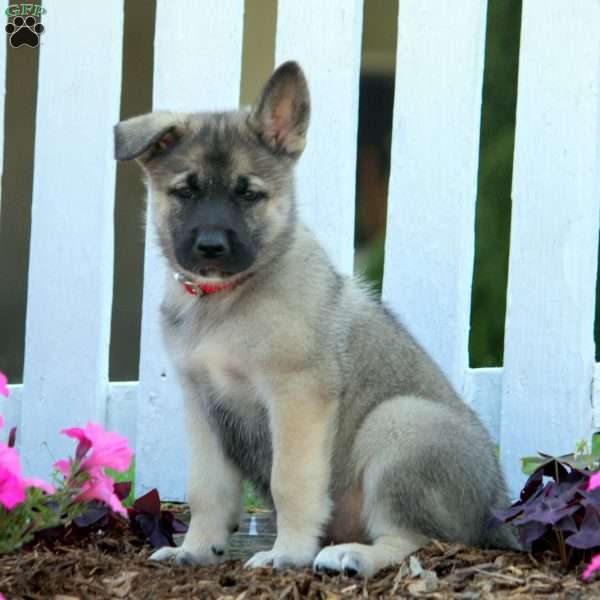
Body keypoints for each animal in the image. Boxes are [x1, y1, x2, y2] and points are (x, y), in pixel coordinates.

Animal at [113, 61, 516, 576]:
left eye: (249, 194)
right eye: (185, 191)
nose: (210, 247)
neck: (226, 298)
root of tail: (497, 510)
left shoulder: (297, 396)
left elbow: (291, 482)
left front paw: (287, 552)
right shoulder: (203, 406)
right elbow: (207, 489)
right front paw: (197, 548)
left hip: (399, 423)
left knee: (415, 539)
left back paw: (352, 555)